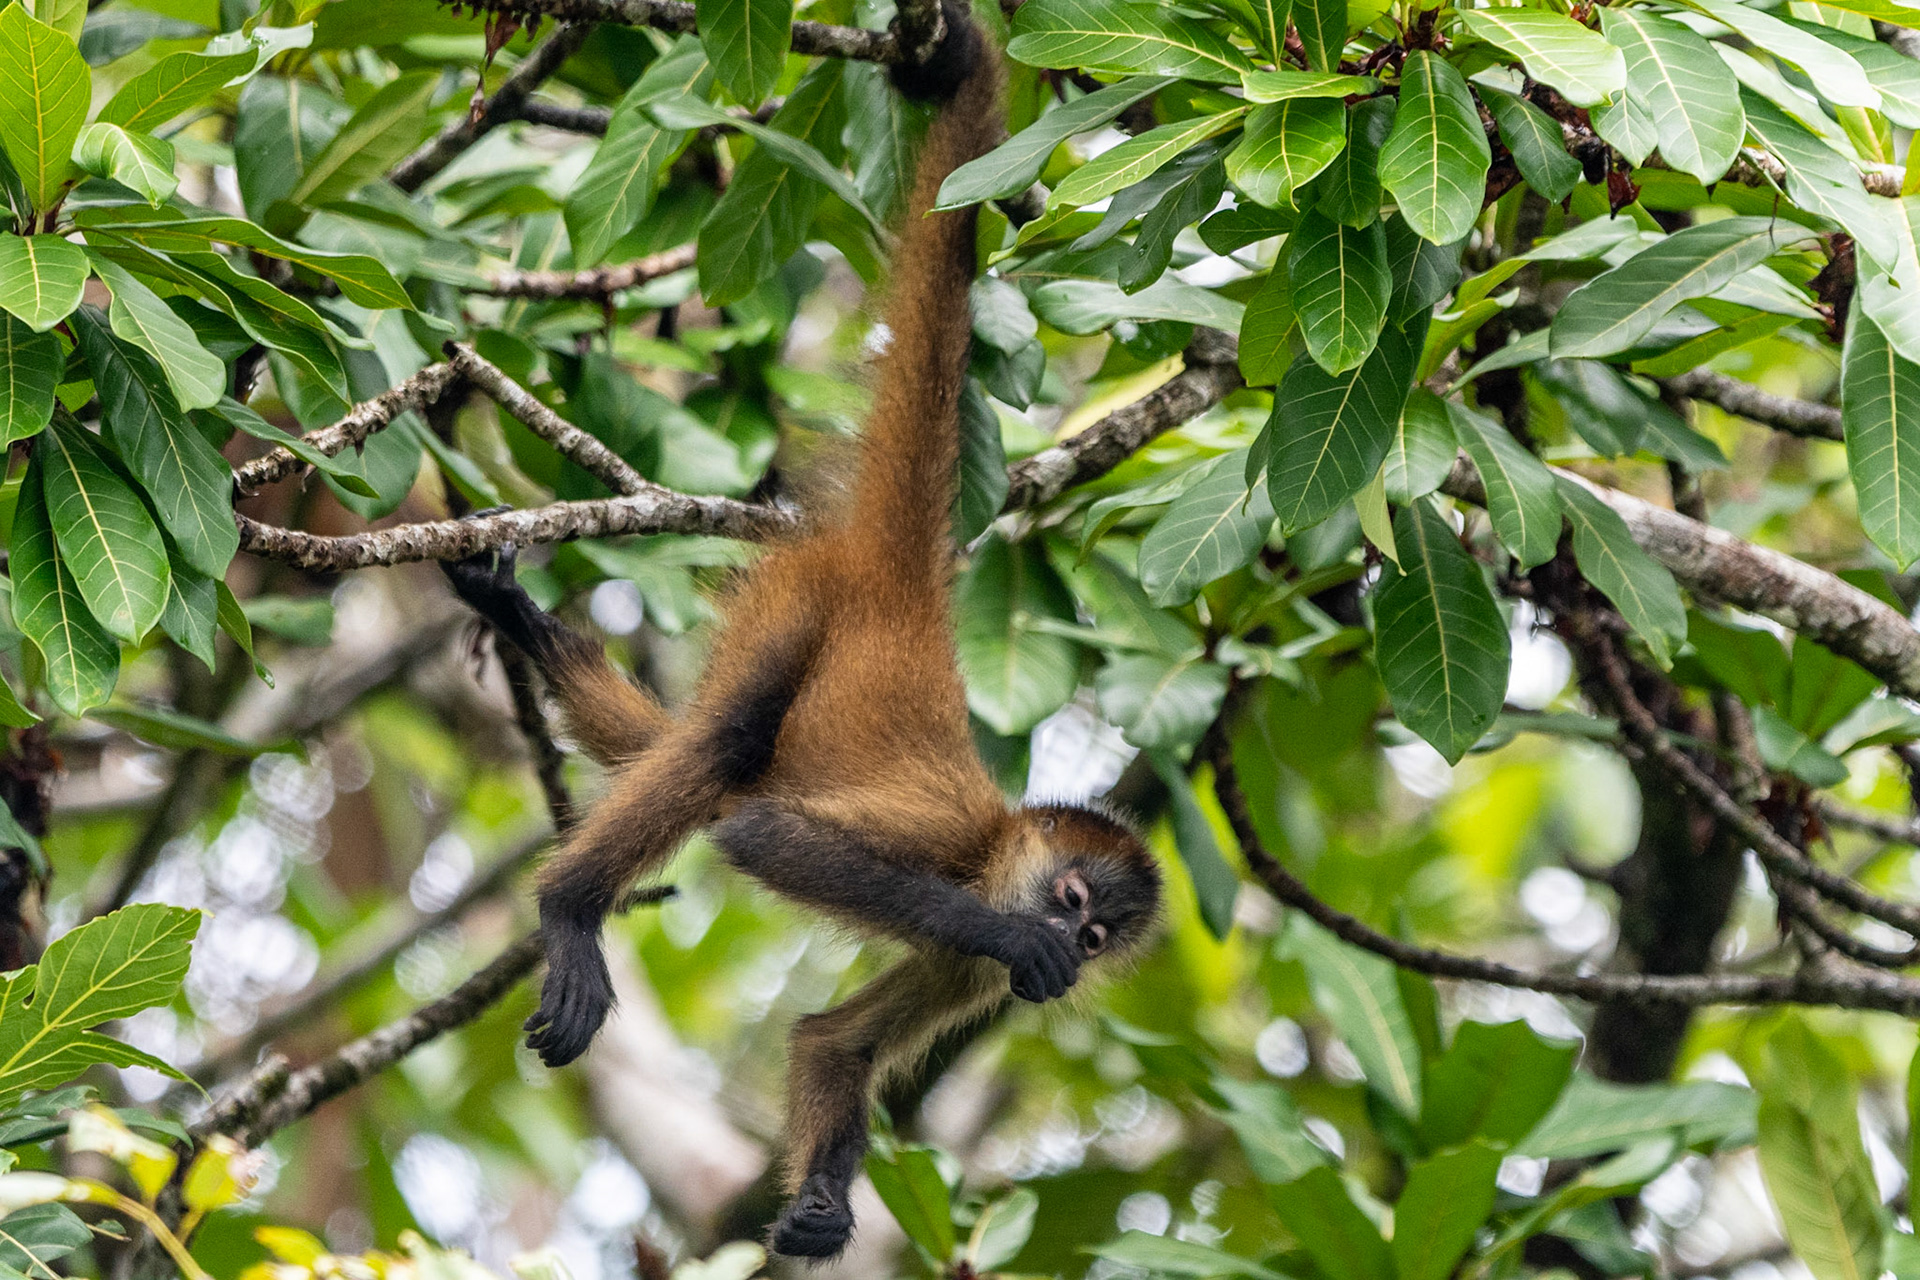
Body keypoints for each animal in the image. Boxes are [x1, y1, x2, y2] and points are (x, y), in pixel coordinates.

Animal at [440, 4, 1162, 1258]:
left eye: (1104, 936)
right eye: (1071, 906)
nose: (1068, 952)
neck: (994, 849)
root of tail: (903, 583)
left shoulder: (965, 974)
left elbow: (833, 1039)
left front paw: (823, 1205)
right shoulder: (947, 851)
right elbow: (762, 834)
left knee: (676, 746)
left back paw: (522, 621)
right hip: (796, 602)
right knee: (724, 750)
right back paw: (570, 908)